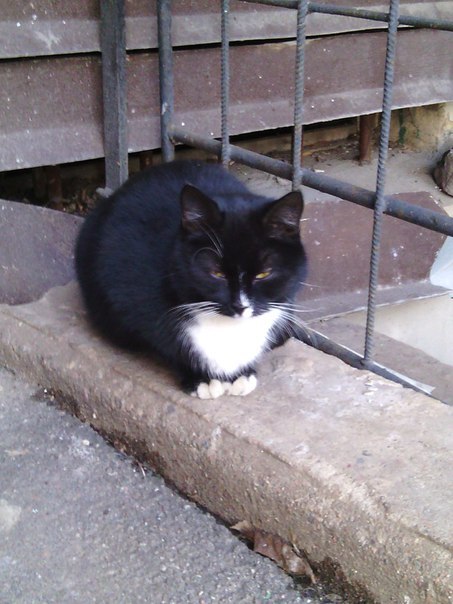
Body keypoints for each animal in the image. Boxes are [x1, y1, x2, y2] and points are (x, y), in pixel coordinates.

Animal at [75, 160, 307, 399]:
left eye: (263, 274)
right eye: (216, 273)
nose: (240, 306)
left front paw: (241, 373)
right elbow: (165, 341)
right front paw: (199, 377)